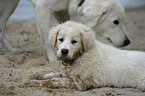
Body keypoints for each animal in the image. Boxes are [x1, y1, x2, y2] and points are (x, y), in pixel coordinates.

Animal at [0, 0, 130, 61]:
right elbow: (47, 39)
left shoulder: (59, 9)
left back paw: (13, 51)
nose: (128, 42)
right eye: (116, 22)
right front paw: (52, 59)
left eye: (124, 20)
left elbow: (67, 25)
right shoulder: (42, 8)